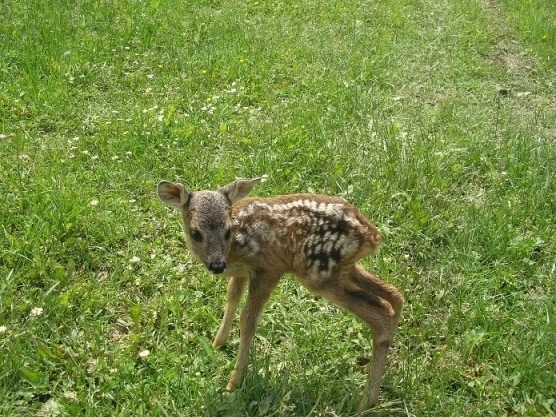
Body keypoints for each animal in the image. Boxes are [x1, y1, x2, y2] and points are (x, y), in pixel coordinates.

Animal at [159, 176, 402, 410]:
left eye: (227, 231)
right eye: (195, 233)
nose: (217, 265)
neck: (235, 248)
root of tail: (373, 236)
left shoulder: (269, 268)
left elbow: (248, 320)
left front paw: (232, 385)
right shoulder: (243, 272)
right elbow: (232, 296)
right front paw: (217, 344)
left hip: (318, 273)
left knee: (381, 312)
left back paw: (365, 403)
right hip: (343, 270)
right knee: (394, 294)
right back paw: (372, 369)